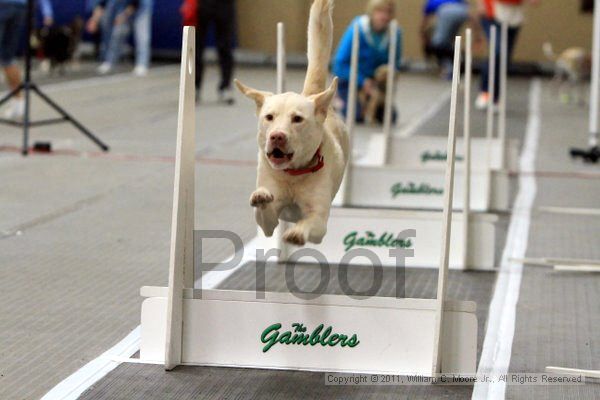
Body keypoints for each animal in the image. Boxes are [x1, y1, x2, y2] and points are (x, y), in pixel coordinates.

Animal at [234, 0, 346, 247]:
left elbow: (309, 222)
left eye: (297, 119)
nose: (277, 136)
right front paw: (261, 197)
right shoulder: (269, 223)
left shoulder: (320, 223)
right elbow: (265, 212)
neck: (293, 175)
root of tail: (311, 94)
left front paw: (297, 232)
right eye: (269, 117)